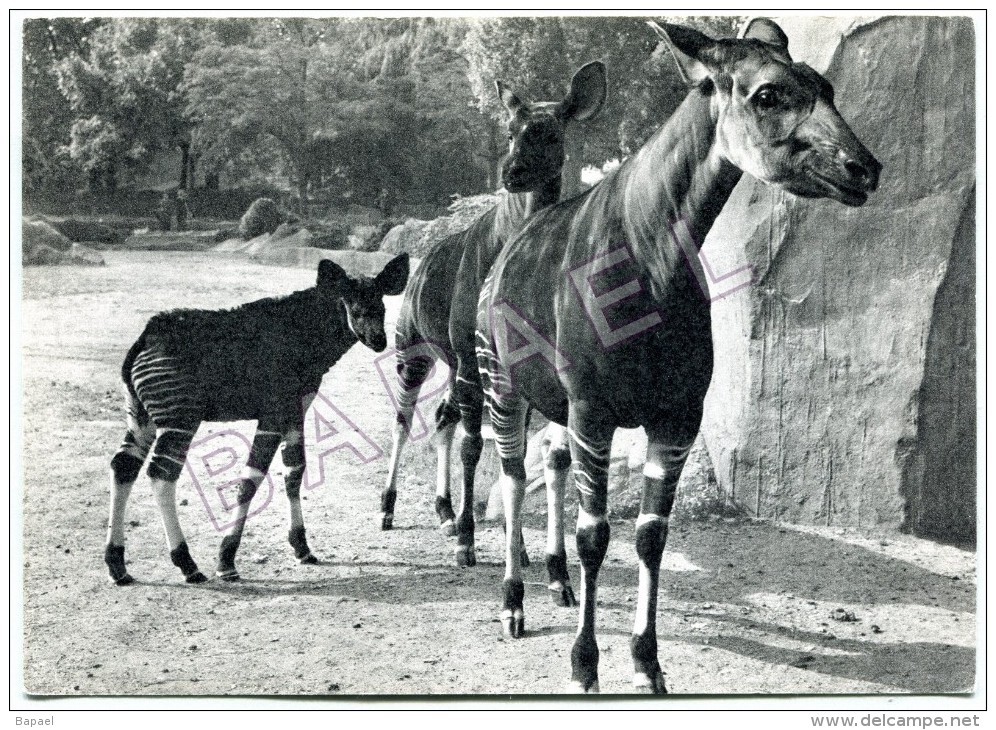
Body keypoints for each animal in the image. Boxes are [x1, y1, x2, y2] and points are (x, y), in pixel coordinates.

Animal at [105, 253, 408, 584]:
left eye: (380, 306)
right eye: (352, 307)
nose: (379, 341)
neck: (304, 333)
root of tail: (144, 339)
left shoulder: (295, 411)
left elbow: (294, 472)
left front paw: (302, 548)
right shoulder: (274, 413)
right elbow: (252, 477)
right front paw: (226, 560)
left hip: (140, 414)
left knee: (124, 465)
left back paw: (117, 565)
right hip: (180, 417)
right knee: (161, 474)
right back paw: (187, 564)